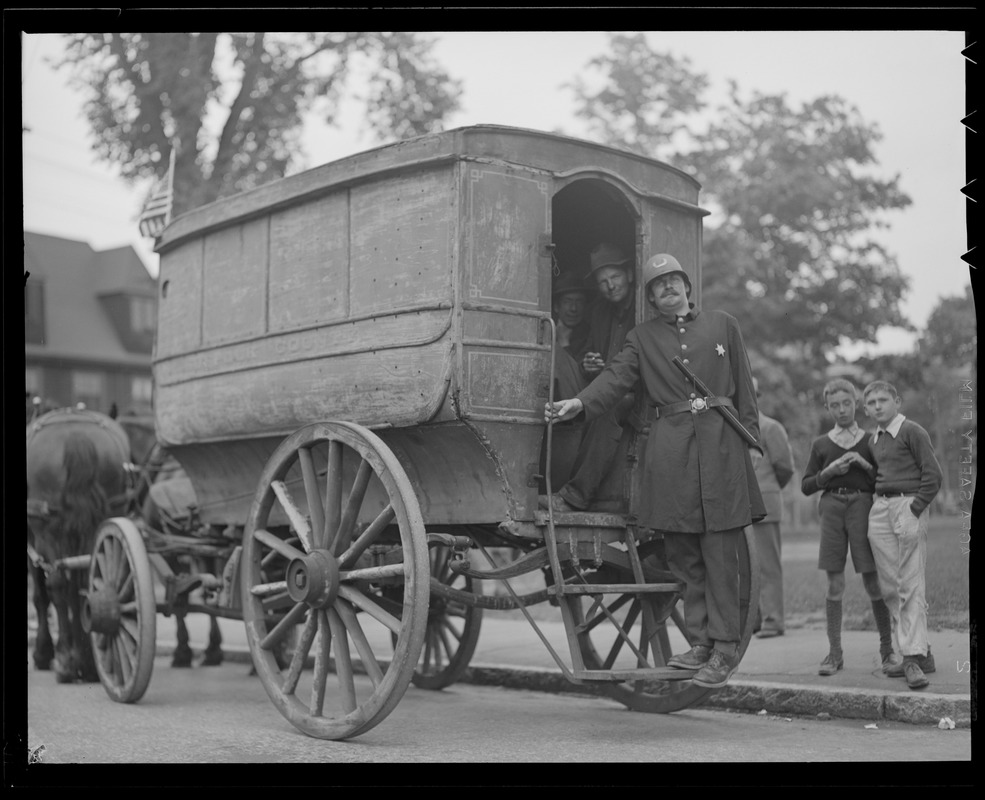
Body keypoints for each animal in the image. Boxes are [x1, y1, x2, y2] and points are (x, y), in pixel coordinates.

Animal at [27, 410, 131, 684]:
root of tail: (76, 436)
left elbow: (41, 596)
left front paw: (44, 653)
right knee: (89, 581)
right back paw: (89, 663)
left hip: (48, 533)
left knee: (57, 587)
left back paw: (65, 659)